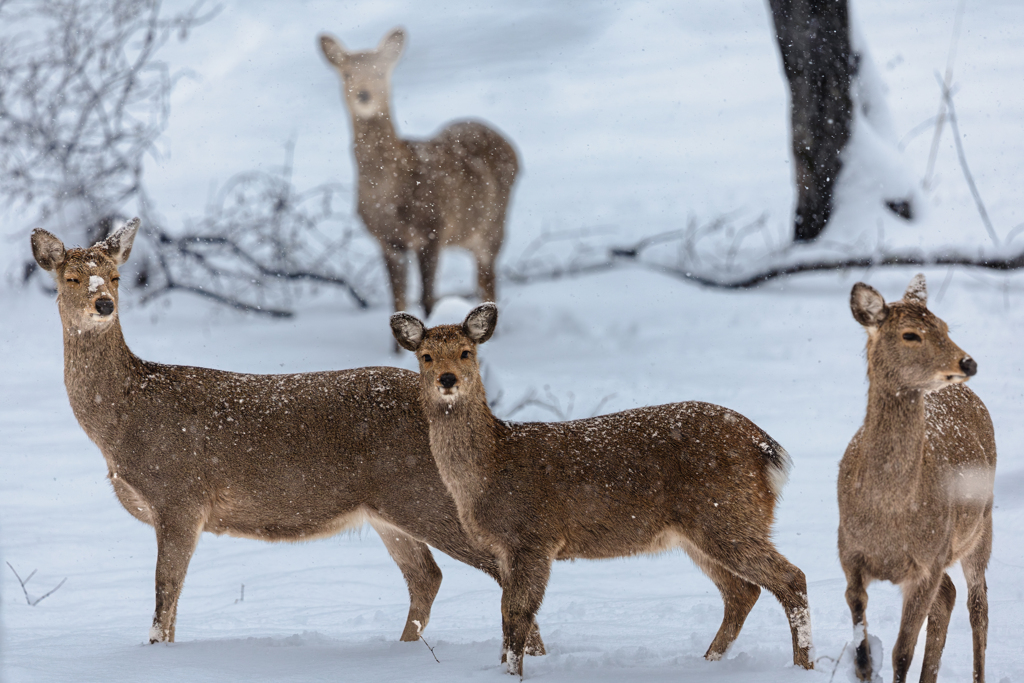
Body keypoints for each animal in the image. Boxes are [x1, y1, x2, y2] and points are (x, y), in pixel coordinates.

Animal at [28, 220, 544, 655]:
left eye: (116, 277)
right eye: (70, 278)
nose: (103, 304)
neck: (125, 418)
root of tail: (488, 423)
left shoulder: (180, 496)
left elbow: (164, 597)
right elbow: (171, 605)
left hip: (427, 494)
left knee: (500, 567)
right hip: (387, 509)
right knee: (427, 576)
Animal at [317, 28, 516, 331]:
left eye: (380, 71)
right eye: (347, 73)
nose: (364, 95)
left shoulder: (432, 229)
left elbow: (427, 300)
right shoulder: (387, 240)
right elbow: (398, 301)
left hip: (494, 223)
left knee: (488, 279)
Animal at [391, 305, 815, 679]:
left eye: (466, 351)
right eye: (426, 356)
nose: (447, 379)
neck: (490, 468)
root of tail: (766, 448)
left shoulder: (534, 538)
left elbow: (517, 616)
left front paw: (513, 674)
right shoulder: (506, 548)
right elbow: (507, 615)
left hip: (727, 514)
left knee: (790, 578)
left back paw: (803, 666)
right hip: (701, 531)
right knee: (742, 591)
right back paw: (709, 661)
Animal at [835, 274, 995, 683]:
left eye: (944, 326)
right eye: (911, 334)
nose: (968, 361)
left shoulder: (927, 562)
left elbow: (902, 652)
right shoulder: (848, 551)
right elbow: (858, 628)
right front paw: (863, 665)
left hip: (980, 527)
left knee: (978, 603)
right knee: (950, 596)